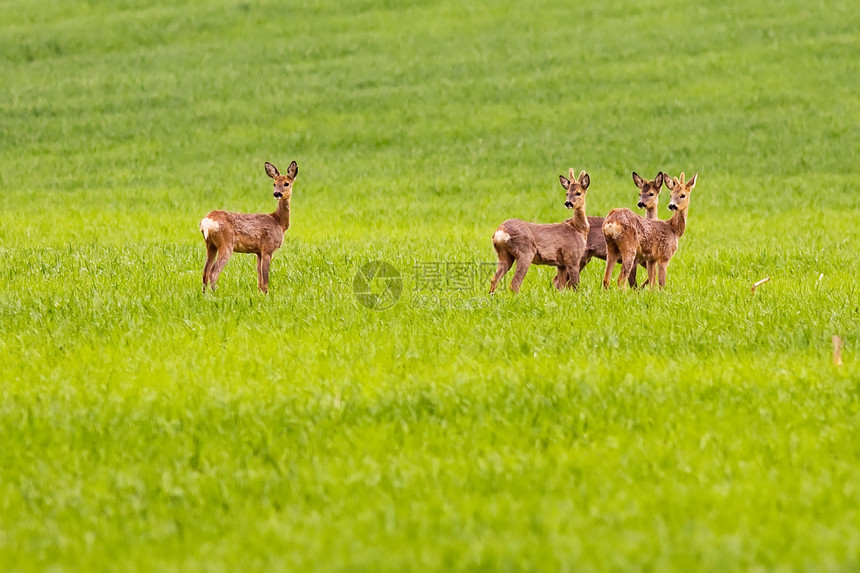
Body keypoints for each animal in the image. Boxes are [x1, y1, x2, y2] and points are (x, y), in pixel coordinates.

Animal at [200, 161, 298, 294]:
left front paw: (260, 294)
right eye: (274, 183)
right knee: (213, 272)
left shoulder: (258, 252)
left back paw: (204, 295)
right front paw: (266, 295)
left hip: (210, 245)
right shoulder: (267, 248)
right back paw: (216, 294)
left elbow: (259, 281)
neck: (278, 222)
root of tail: (207, 221)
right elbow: (265, 280)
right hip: (226, 243)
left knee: (205, 271)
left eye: (286, 183)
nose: (276, 193)